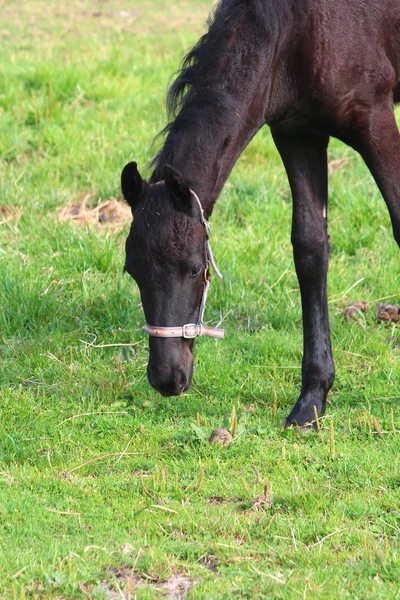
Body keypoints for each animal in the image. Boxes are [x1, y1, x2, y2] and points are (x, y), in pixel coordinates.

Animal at [122, 0, 400, 426]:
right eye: (132, 271)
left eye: (194, 268)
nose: (167, 378)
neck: (296, 29)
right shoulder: (297, 131)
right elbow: (310, 249)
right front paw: (311, 399)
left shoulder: (374, 118)